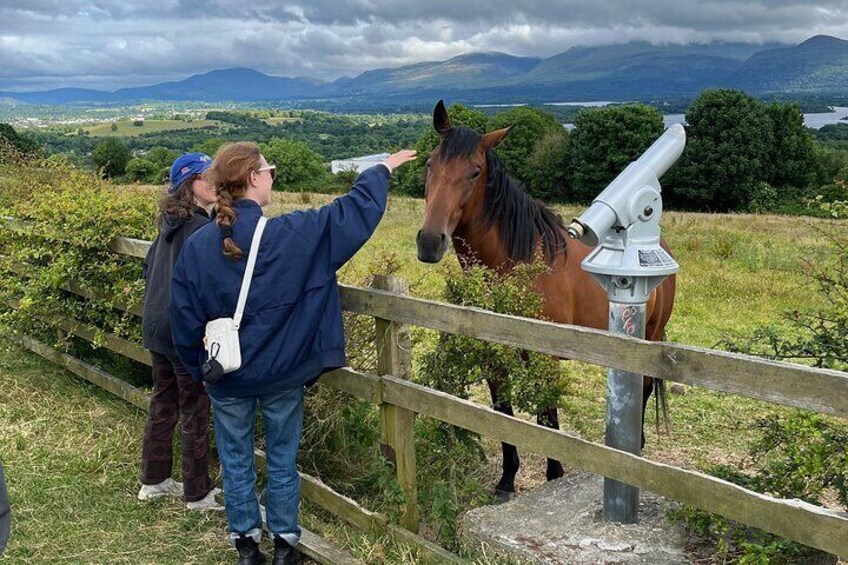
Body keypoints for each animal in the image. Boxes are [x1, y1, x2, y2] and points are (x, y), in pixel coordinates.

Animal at [418, 100, 676, 498]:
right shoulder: (494, 357)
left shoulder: (545, 357)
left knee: (645, 389)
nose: (430, 241)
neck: (516, 262)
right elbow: (504, 410)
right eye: (430, 163)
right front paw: (507, 480)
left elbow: (547, 414)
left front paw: (555, 474)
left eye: (475, 171)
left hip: (648, 339)